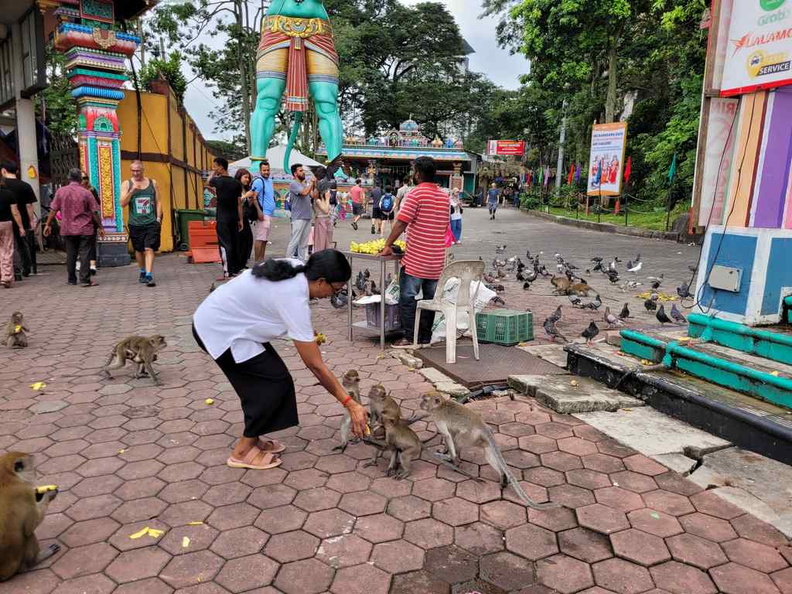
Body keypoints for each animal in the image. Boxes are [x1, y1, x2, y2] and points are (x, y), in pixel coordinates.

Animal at [0, 448, 60, 580]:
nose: (36, 474)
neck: (6, 476)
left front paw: (39, 493)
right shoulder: (25, 491)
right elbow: (29, 527)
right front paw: (48, 494)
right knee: (28, 534)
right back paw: (36, 560)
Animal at [420, 388, 556, 508]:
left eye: (425, 400)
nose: (420, 404)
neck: (439, 406)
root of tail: (483, 426)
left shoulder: (437, 418)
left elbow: (447, 435)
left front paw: (450, 457)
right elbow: (449, 434)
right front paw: (445, 451)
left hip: (469, 436)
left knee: (458, 440)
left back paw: (455, 459)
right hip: (481, 440)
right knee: (488, 455)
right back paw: (503, 476)